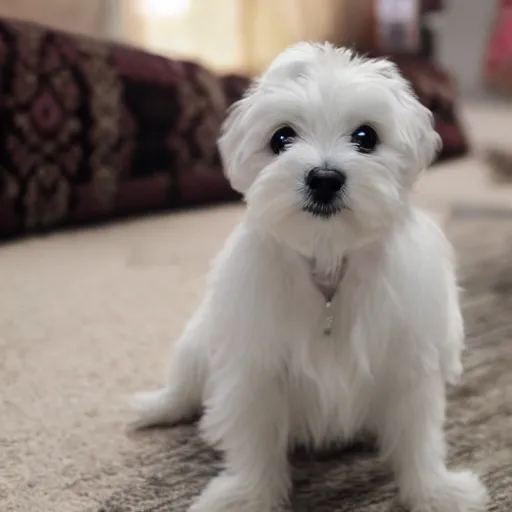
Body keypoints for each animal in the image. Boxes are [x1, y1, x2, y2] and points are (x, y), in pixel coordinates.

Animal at [129, 44, 488, 512]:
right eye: (281, 138)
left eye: (366, 137)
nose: (324, 178)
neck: (328, 261)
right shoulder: (255, 367)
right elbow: (254, 439)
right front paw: (246, 496)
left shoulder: (408, 360)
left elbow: (418, 437)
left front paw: (435, 491)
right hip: (196, 345)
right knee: (182, 388)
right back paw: (155, 407)